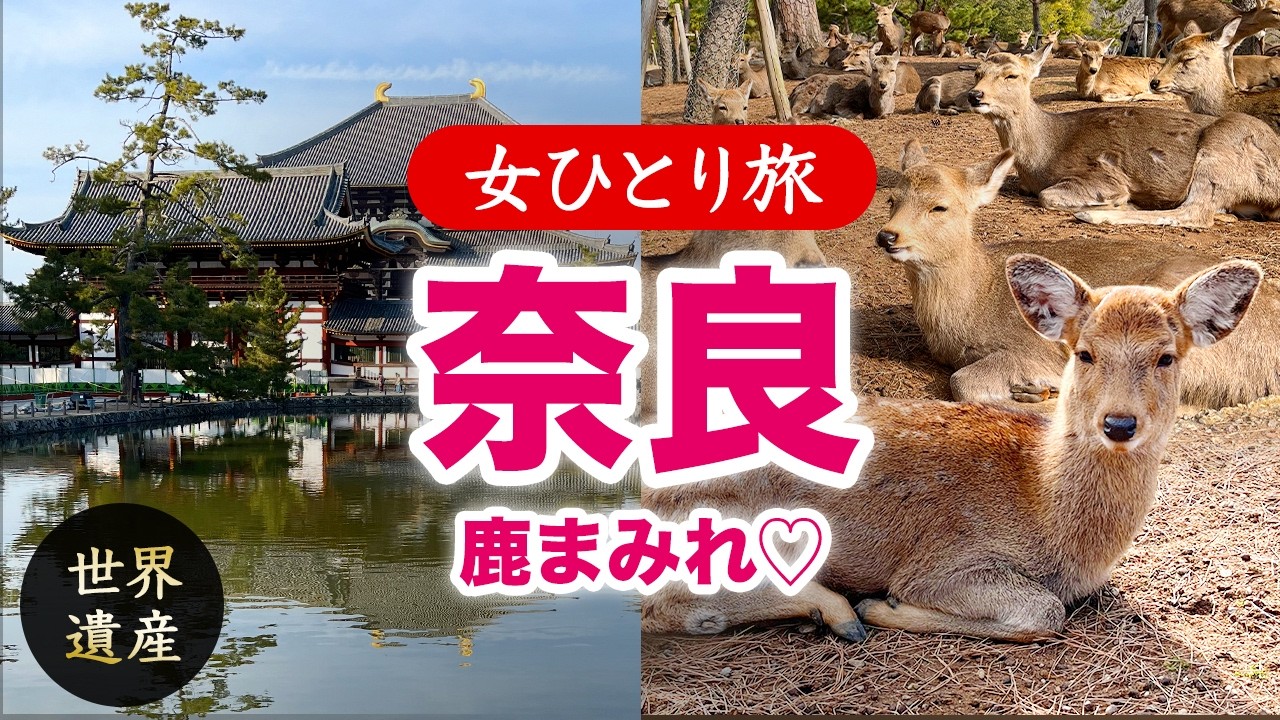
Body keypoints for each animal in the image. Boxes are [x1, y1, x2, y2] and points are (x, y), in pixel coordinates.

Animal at [642, 251, 1265, 643]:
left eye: (1167, 356)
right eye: (1084, 352)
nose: (1118, 423)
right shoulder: (946, 561)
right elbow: (1043, 610)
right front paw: (882, 604)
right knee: (668, 606)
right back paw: (841, 612)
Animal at [968, 46, 1280, 227]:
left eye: (1012, 75)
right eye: (977, 73)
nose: (975, 95)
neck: (1045, 152)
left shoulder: (1102, 174)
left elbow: (1048, 196)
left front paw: (1117, 200)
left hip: (1221, 146)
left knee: (1196, 213)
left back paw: (1094, 214)